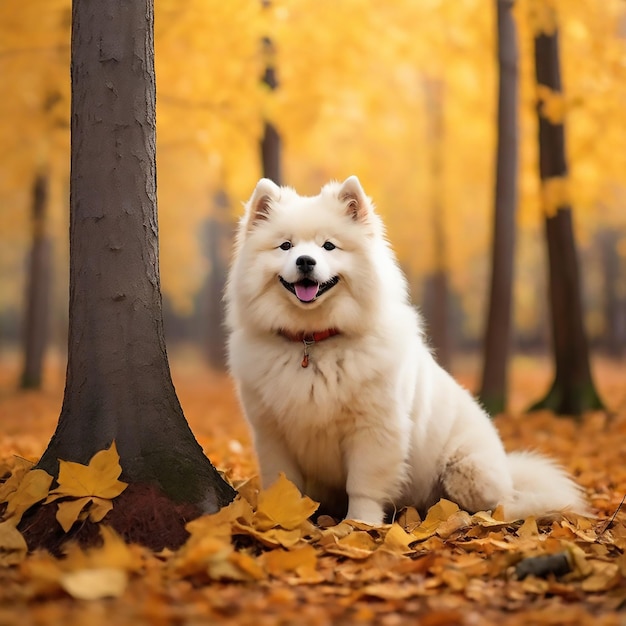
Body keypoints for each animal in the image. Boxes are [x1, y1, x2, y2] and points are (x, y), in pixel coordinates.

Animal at [227, 174, 588, 520]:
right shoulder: (272, 434)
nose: (305, 261)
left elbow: (363, 486)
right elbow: (283, 482)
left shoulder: (374, 429)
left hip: (465, 471)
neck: (312, 340)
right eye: (285, 246)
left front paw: (358, 525)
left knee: (500, 505)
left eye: (329, 246)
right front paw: (285, 514)